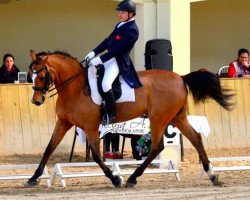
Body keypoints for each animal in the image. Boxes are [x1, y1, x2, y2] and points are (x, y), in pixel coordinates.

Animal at [26, 50, 233, 188]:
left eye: (42, 75)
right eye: (31, 75)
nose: (36, 101)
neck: (75, 89)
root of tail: (181, 77)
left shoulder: (91, 127)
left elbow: (96, 155)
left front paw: (116, 178)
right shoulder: (63, 123)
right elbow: (49, 149)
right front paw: (33, 178)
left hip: (158, 119)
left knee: (157, 147)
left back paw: (133, 178)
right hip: (176, 118)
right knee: (196, 138)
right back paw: (212, 176)